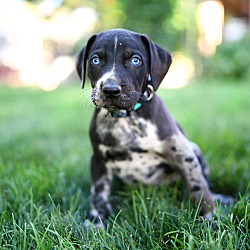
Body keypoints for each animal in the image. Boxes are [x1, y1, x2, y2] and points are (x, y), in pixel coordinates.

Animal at [76, 28, 232, 228]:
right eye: (95, 60)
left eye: (136, 60)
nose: (110, 89)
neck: (126, 117)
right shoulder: (98, 159)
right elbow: (99, 192)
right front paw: (97, 222)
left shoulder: (182, 152)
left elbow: (199, 185)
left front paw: (212, 216)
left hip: (194, 148)